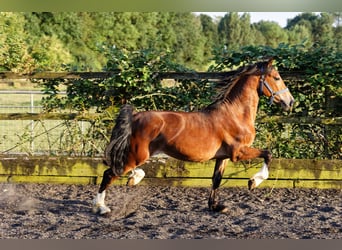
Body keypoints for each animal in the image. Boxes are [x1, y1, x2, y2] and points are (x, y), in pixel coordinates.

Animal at [93, 59, 294, 215]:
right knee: (110, 173)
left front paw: (215, 206)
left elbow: (216, 179)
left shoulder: (223, 157)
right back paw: (102, 207)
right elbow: (268, 154)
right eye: (277, 78)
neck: (235, 115)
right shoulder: (238, 153)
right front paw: (253, 182)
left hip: (137, 154)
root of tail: (135, 116)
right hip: (137, 155)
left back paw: (134, 179)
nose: (290, 102)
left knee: (121, 169)